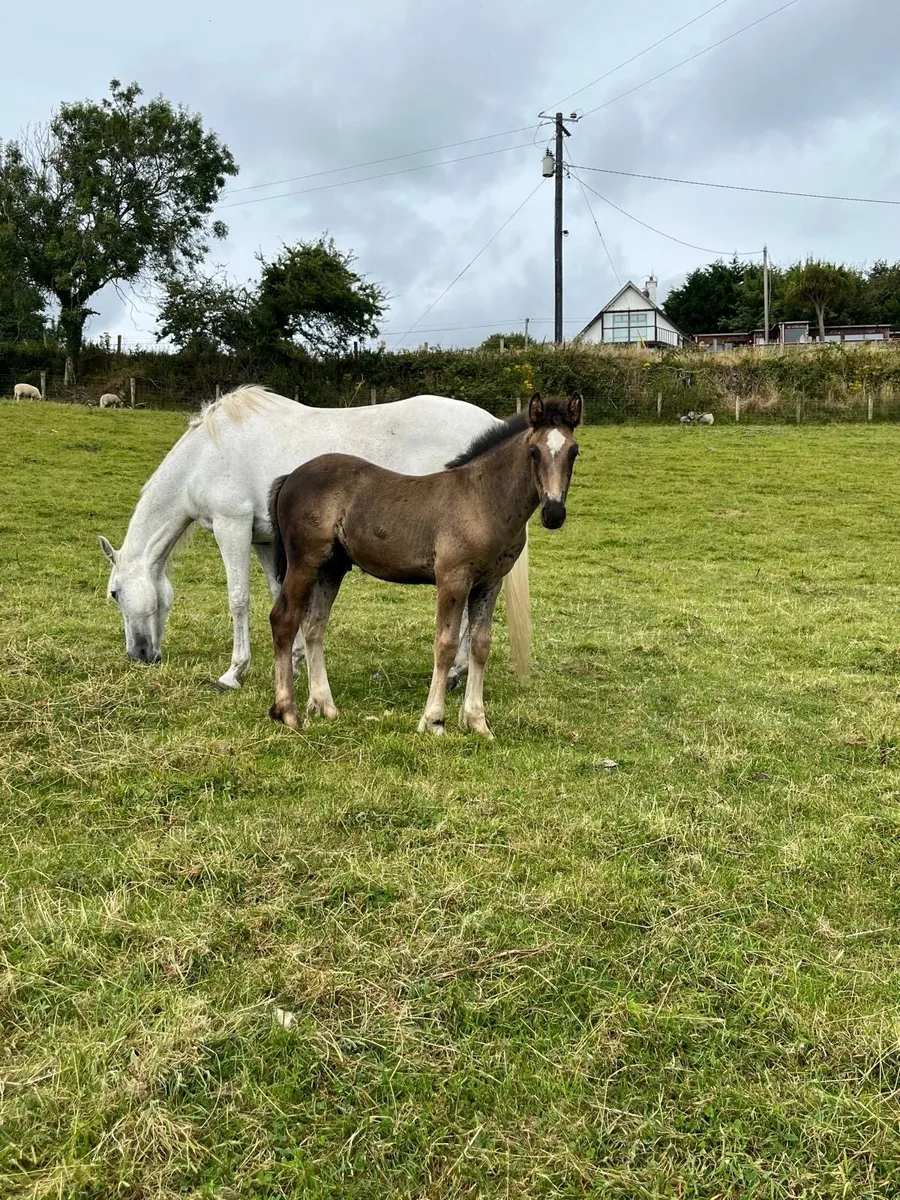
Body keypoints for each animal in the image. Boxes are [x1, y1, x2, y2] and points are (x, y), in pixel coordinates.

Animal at [98, 386, 530, 690]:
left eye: (115, 593)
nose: (139, 654)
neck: (208, 455)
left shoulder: (231, 526)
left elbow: (238, 599)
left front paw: (234, 672)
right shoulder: (265, 541)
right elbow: (281, 595)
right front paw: (295, 659)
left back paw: (454, 672)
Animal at [267, 392, 581, 737]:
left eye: (574, 452)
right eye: (534, 451)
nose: (554, 513)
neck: (483, 498)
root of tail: (290, 477)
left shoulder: (489, 583)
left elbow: (481, 645)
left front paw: (477, 721)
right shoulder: (453, 579)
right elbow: (445, 645)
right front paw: (434, 720)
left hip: (331, 568)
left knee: (314, 626)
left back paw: (326, 706)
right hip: (304, 563)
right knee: (284, 619)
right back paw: (287, 712)